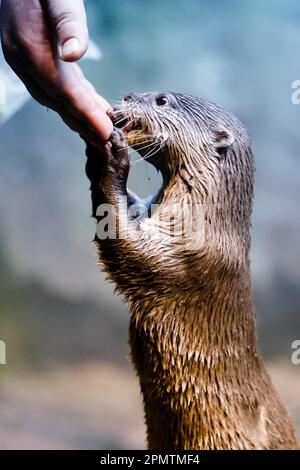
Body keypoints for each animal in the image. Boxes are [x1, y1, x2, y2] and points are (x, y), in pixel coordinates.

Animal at [84, 92, 298, 448]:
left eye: (162, 100)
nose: (128, 96)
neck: (206, 218)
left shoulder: (185, 254)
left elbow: (127, 247)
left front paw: (111, 158)